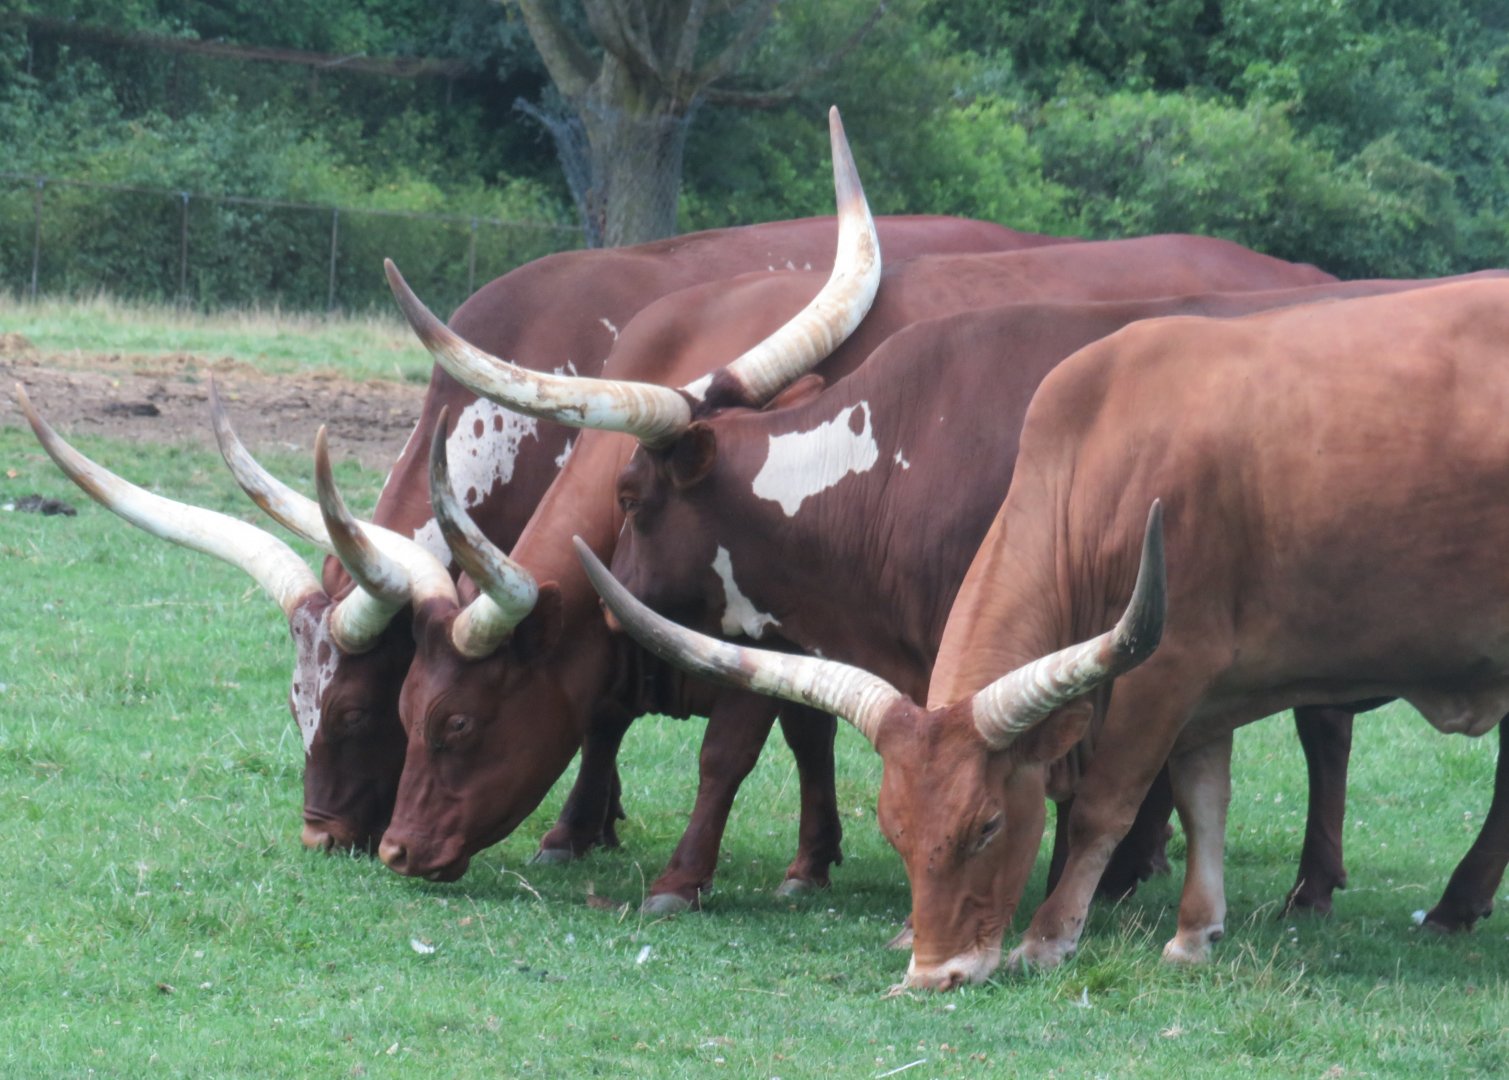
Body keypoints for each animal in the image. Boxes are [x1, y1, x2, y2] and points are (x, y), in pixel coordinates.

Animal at [373, 117, 1338, 909]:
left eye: (455, 724)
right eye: (401, 705)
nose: (390, 849)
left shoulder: (780, 630)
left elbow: (730, 749)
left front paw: (681, 878)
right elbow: (795, 729)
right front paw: (800, 861)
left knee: (1316, 729)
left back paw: (1300, 888)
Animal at [578, 276, 1509, 988]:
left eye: (989, 826)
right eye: (893, 831)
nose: (934, 974)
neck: (1102, 455)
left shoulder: (1164, 667)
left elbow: (1104, 805)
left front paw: (1050, 934)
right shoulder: (1206, 689)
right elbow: (1204, 798)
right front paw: (1193, 934)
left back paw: (1453, 906)